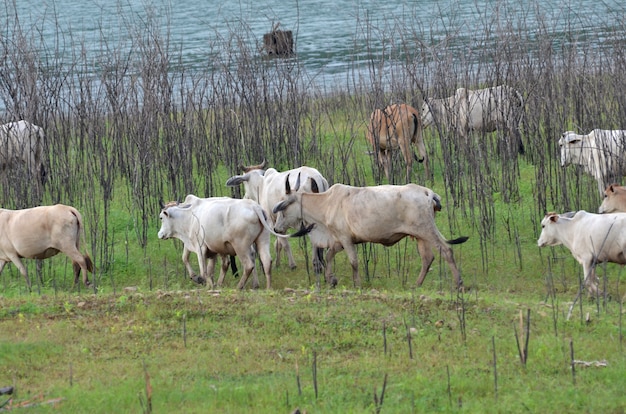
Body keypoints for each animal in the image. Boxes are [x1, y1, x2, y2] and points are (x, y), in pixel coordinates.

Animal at [158, 196, 310, 288]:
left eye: (161, 217)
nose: (160, 234)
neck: (189, 216)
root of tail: (255, 207)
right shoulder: (212, 251)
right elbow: (208, 269)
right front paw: (212, 284)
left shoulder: (200, 247)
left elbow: (202, 268)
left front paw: (201, 280)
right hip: (262, 240)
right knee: (266, 261)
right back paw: (267, 287)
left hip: (240, 246)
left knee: (249, 265)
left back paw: (240, 287)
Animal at [270, 176, 466, 290]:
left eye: (284, 207)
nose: (277, 228)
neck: (327, 203)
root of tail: (427, 192)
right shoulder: (338, 241)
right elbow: (328, 256)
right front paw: (331, 279)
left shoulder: (345, 239)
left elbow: (354, 262)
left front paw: (357, 284)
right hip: (420, 236)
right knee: (428, 258)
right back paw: (416, 285)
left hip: (426, 230)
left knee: (446, 251)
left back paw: (458, 284)